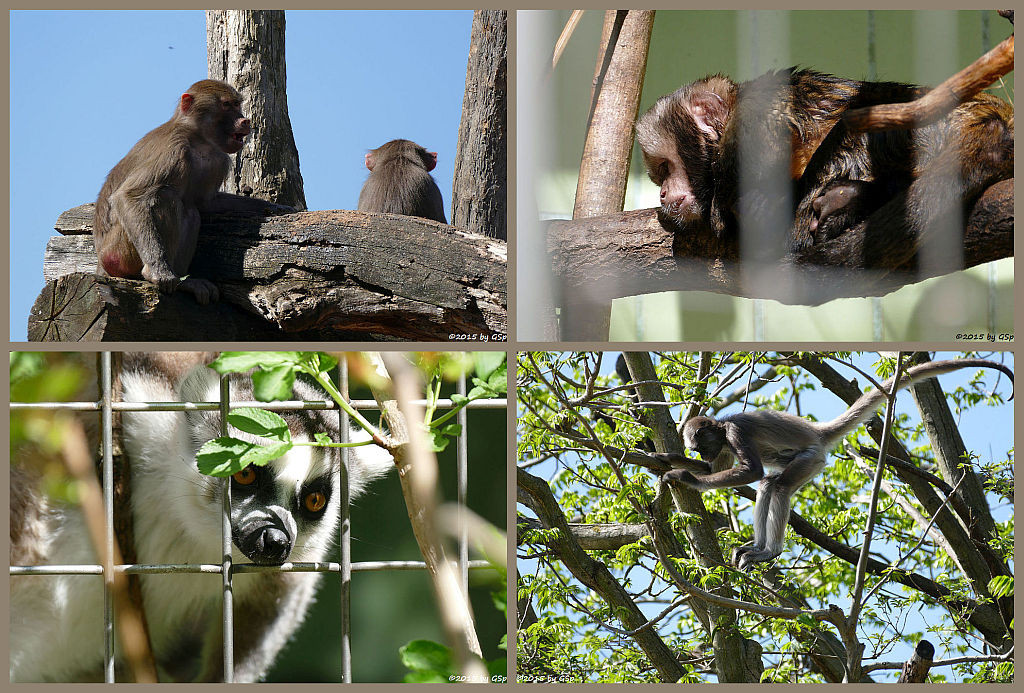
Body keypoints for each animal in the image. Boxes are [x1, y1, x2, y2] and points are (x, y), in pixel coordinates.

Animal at [643, 356, 1011, 569]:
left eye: (699, 444)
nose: (700, 454)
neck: (722, 426)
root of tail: (815, 431)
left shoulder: (735, 432)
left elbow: (750, 471)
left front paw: (685, 478)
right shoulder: (724, 443)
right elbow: (716, 472)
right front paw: (664, 459)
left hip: (812, 459)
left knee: (776, 484)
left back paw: (769, 551)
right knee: (769, 484)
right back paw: (759, 547)